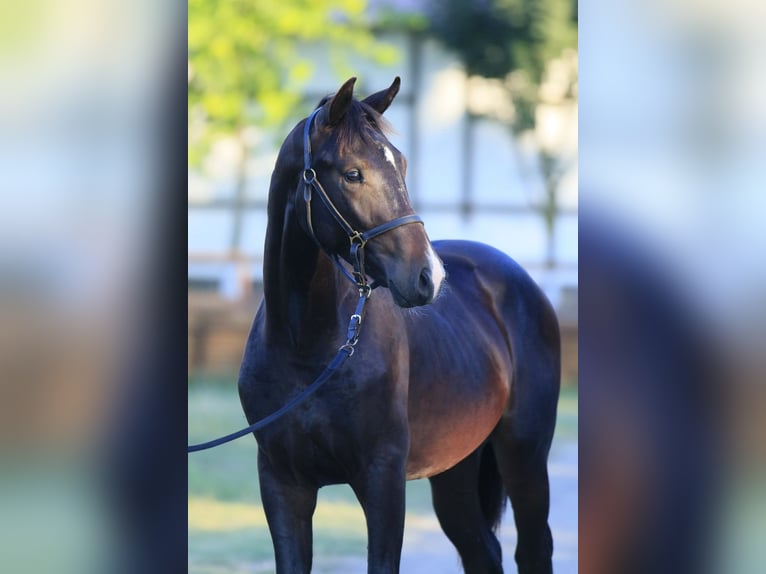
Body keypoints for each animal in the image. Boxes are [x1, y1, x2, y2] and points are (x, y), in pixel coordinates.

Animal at [237, 77, 560, 574]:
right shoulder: (281, 483)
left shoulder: (383, 478)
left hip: (524, 454)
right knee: (482, 551)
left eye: (402, 163)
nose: (430, 276)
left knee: (532, 549)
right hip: (455, 470)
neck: (307, 347)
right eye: (352, 173)